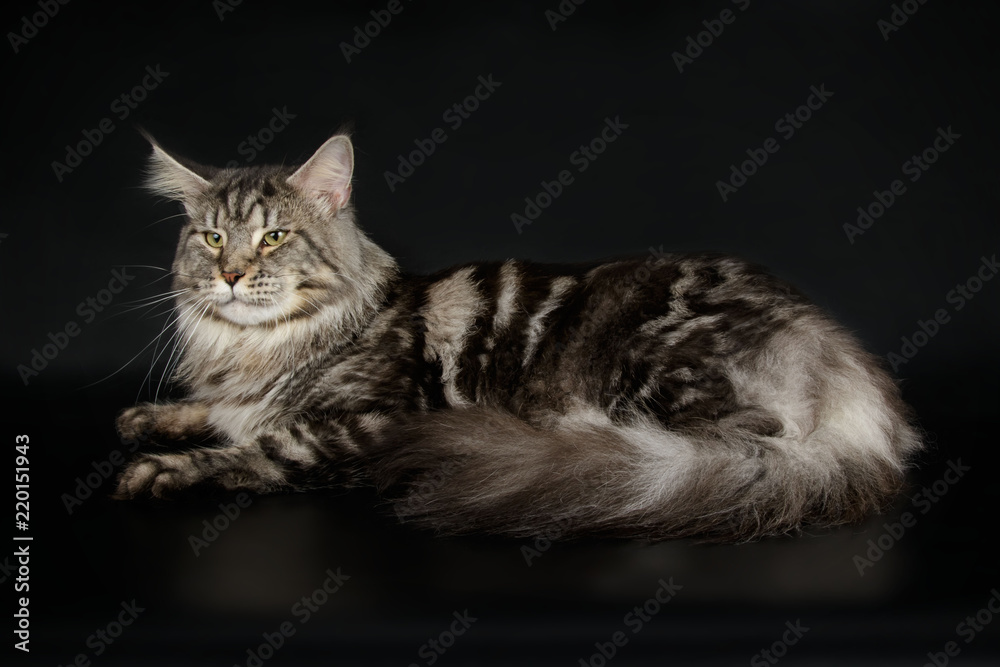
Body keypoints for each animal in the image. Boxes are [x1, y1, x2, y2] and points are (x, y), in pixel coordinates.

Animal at [115, 132, 920, 544]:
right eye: (212, 237)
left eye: (274, 238)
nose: (229, 274)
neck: (252, 349)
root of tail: (839, 358)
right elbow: (211, 412)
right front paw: (153, 418)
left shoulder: (373, 421)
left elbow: (262, 447)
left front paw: (163, 468)